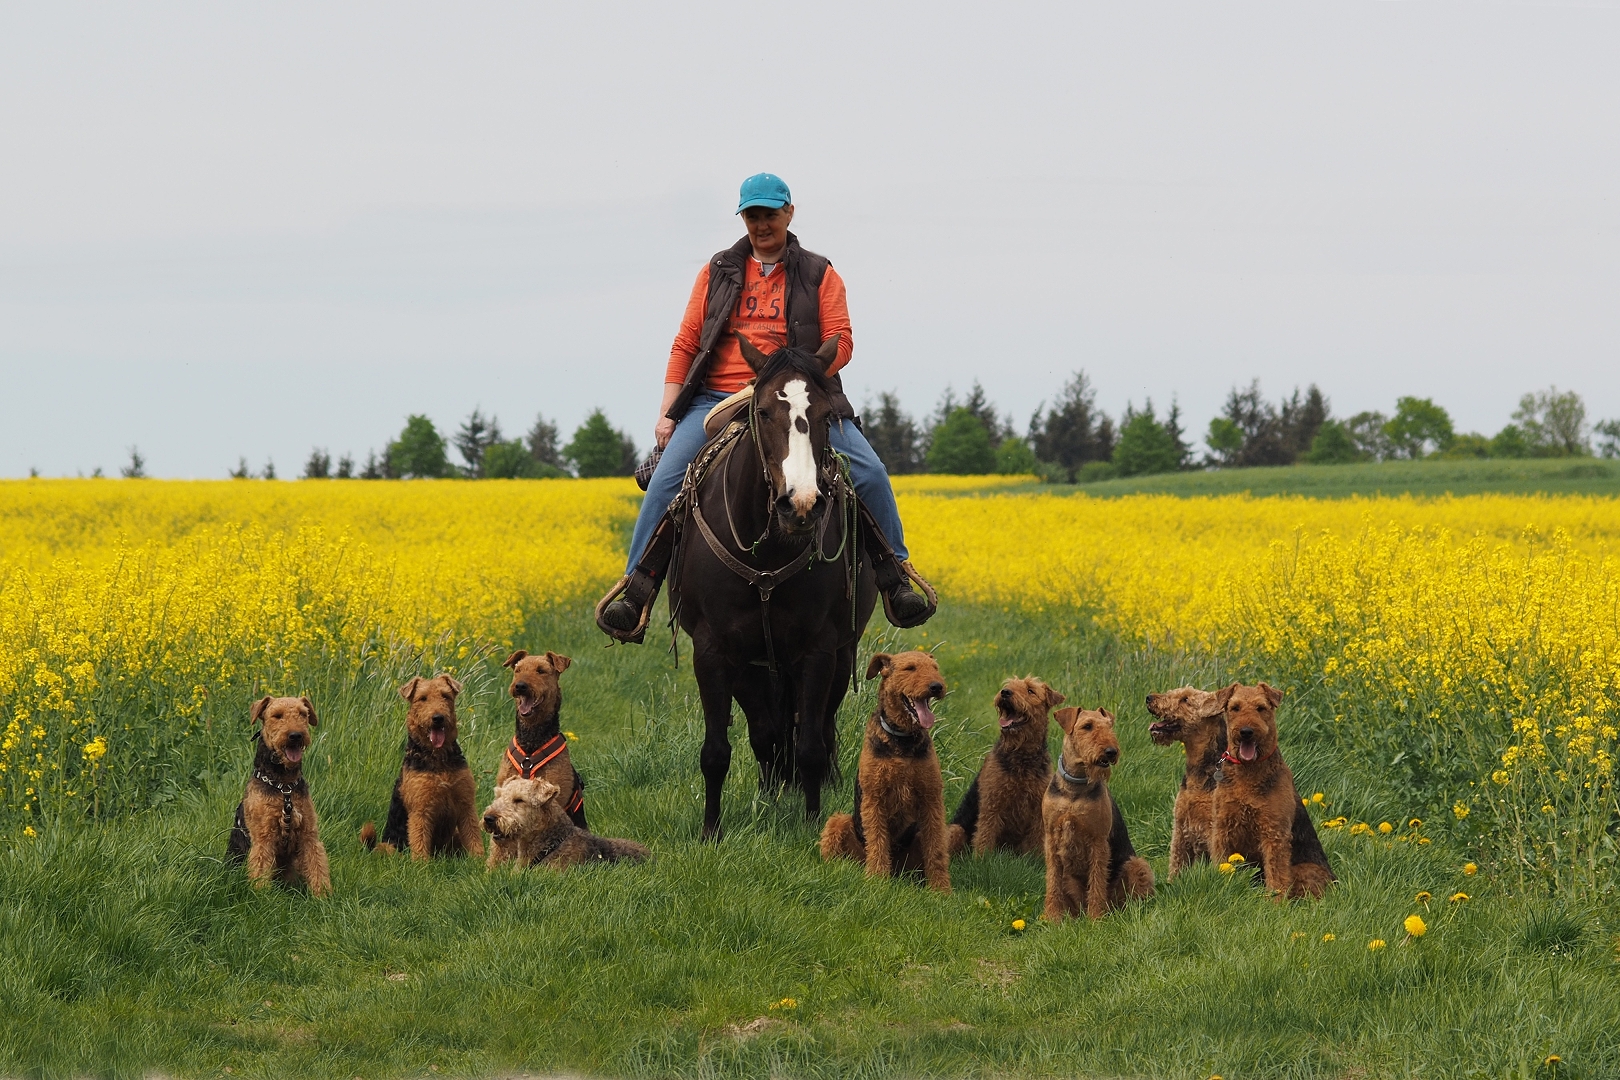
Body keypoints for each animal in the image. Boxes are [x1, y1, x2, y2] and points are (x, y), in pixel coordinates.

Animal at [667, 333, 881, 841]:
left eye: (825, 415)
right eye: (763, 412)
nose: (799, 504)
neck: (768, 551)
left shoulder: (819, 649)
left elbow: (810, 745)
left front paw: (812, 823)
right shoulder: (714, 649)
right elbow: (718, 749)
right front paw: (711, 832)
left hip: (838, 655)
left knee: (818, 729)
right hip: (754, 665)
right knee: (765, 731)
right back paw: (769, 792)